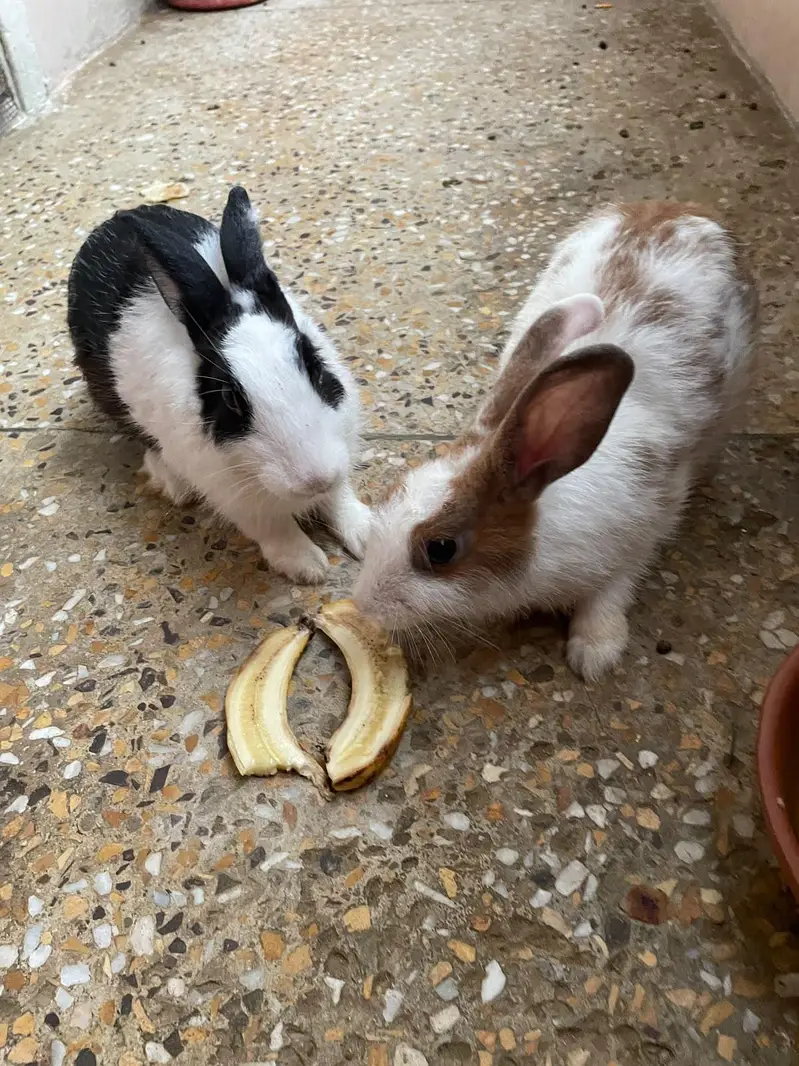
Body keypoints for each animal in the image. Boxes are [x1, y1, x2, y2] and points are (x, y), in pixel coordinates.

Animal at [67, 185, 371, 584]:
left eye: (316, 365)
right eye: (231, 398)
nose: (316, 480)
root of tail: (103, 230)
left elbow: (339, 498)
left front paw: (368, 534)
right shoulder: (232, 494)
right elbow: (273, 528)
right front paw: (309, 567)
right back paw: (174, 484)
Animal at [353, 202, 758, 680]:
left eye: (440, 549)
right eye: (386, 496)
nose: (362, 605)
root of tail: (676, 211)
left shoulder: (641, 534)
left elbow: (611, 593)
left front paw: (594, 654)